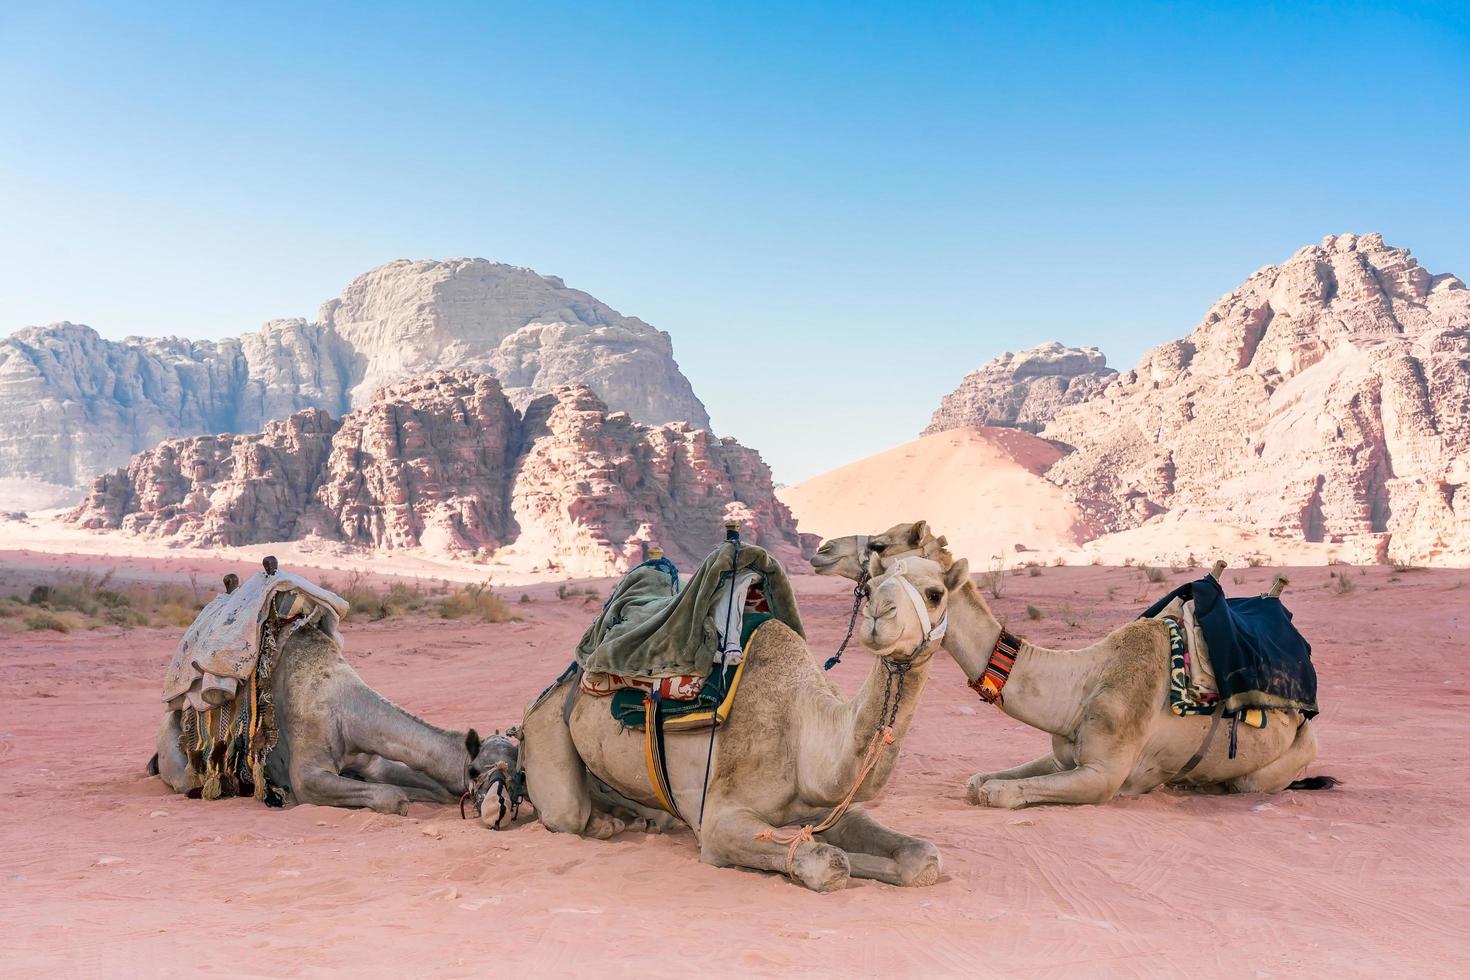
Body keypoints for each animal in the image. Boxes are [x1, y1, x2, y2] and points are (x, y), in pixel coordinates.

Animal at [152, 625, 520, 816]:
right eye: (477, 771)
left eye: (518, 768)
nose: (499, 806)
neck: (346, 708)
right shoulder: (309, 775)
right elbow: (392, 798)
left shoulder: (371, 758)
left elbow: (432, 788)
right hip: (181, 765)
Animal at [817, 525, 1334, 811]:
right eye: (878, 580)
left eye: (934, 593)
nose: (822, 549)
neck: (1081, 681)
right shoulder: (1065, 755)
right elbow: (979, 781)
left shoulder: (1103, 775)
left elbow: (994, 793)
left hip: (1283, 761)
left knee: (1248, 780)